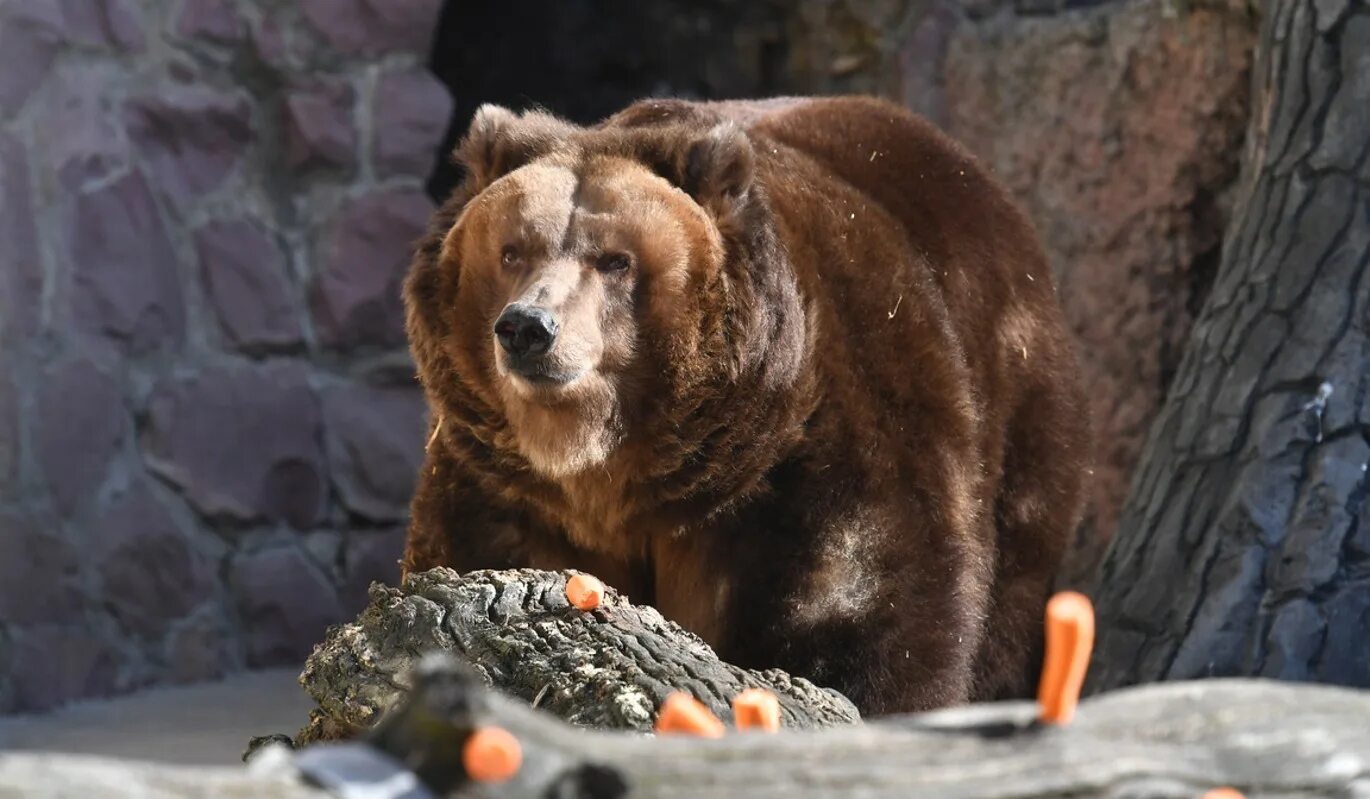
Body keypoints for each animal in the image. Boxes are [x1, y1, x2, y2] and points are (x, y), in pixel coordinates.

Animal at [400, 96, 1090, 718]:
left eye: (615, 260)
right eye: (513, 250)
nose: (527, 327)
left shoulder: (824, 447)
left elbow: (869, 607)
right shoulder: (503, 488)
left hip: (1018, 414)